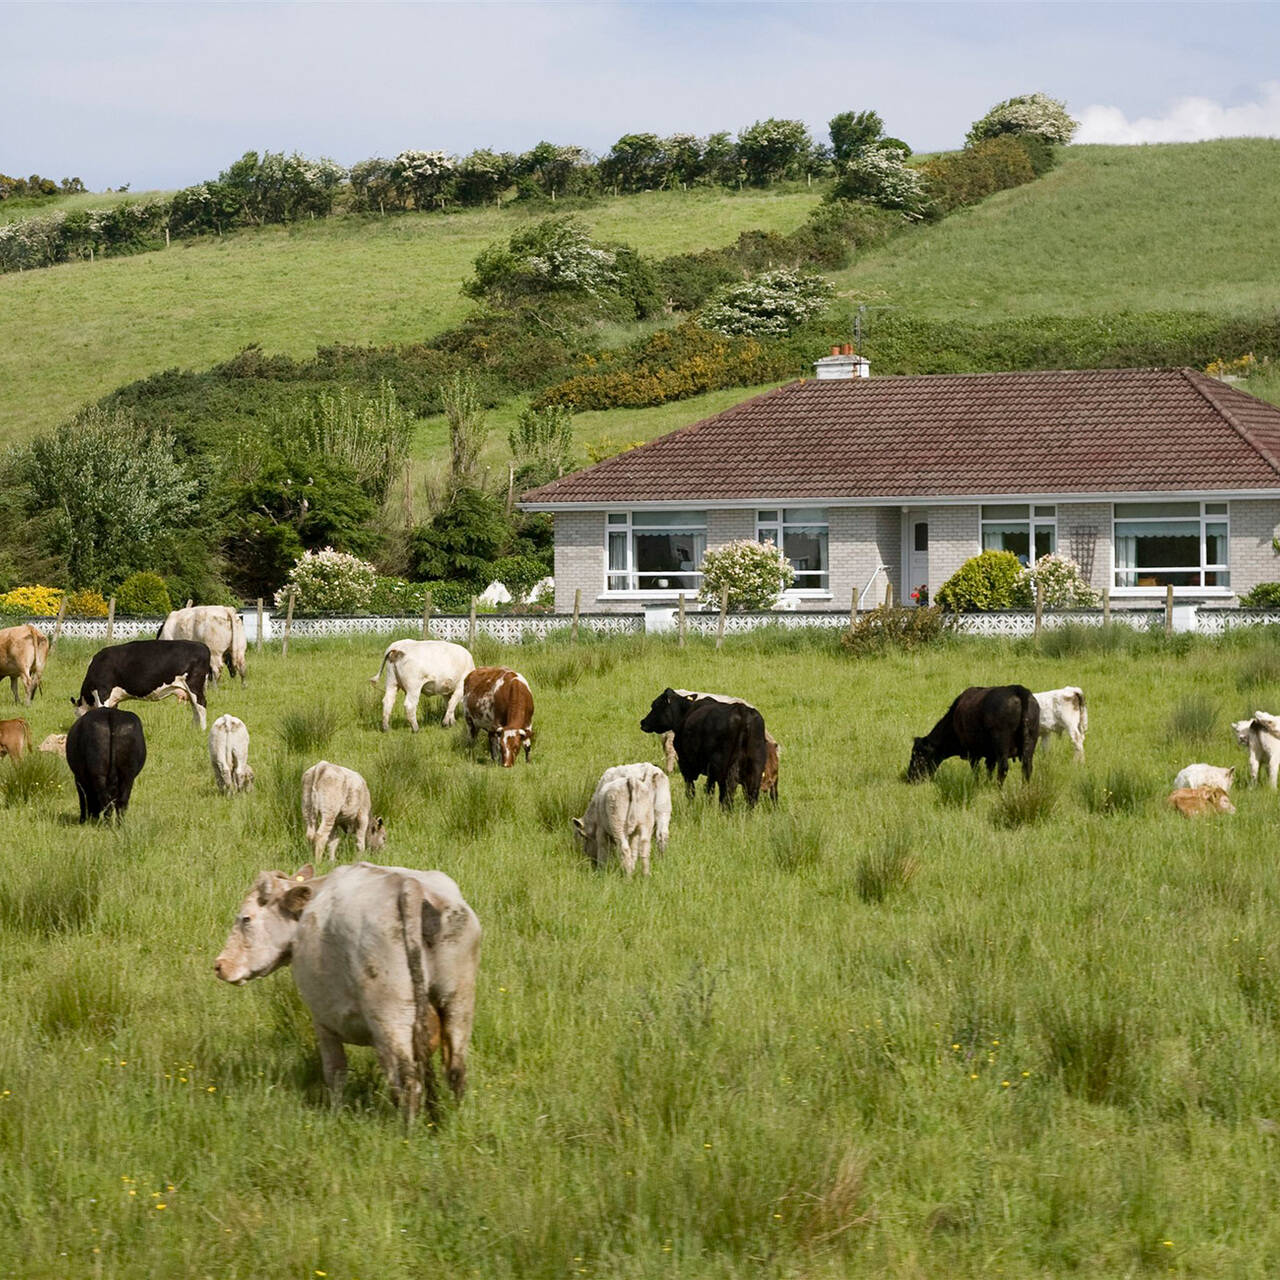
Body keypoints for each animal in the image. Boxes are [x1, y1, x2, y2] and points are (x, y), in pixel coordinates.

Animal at [73, 640, 211, 732]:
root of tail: (202, 646)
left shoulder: (103, 692)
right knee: (195, 708)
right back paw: (195, 729)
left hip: (194, 685)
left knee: (201, 705)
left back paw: (202, 730)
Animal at [215, 860, 481, 1121]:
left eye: (246, 918)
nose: (219, 965)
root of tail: (409, 886)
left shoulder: (323, 1020)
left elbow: (335, 1070)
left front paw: (335, 1114)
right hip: (457, 1001)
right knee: (455, 1070)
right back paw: (450, 1121)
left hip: (390, 1014)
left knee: (408, 1080)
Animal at [640, 686, 768, 803]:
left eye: (654, 705)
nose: (642, 722)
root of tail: (742, 711)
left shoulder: (685, 764)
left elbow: (692, 791)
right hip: (756, 765)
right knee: (751, 794)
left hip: (721, 766)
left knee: (725, 792)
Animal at [911, 686, 1039, 783]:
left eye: (917, 755)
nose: (910, 778)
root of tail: (1017, 688)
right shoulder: (990, 755)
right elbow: (989, 770)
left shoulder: (973, 753)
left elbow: (977, 771)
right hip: (1030, 739)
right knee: (1027, 767)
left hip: (1001, 742)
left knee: (1003, 768)